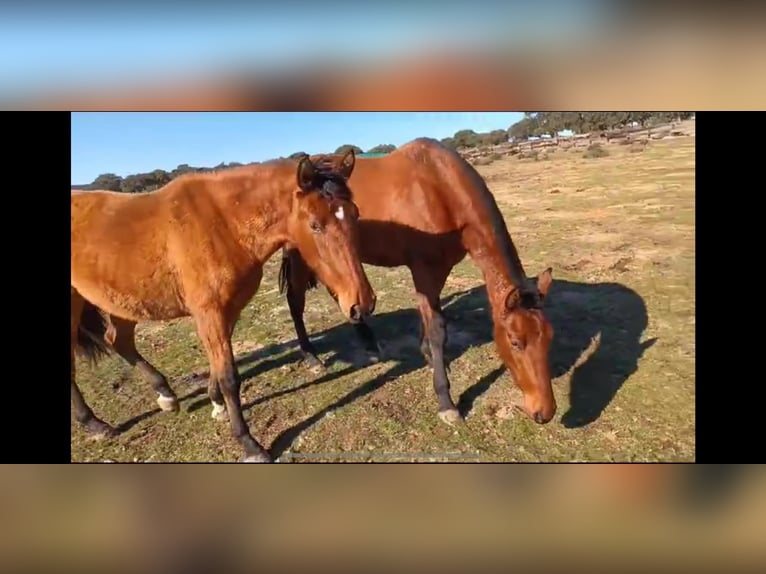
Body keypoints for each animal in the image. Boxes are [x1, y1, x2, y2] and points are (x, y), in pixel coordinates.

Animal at [70, 152, 376, 464]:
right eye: (315, 224)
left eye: (354, 214)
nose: (362, 303)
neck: (223, 223)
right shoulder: (210, 314)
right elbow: (229, 376)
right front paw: (249, 444)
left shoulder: (228, 311)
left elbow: (218, 367)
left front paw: (216, 403)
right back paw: (95, 424)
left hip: (124, 303)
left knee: (119, 341)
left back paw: (166, 395)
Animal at [282, 140, 560, 428]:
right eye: (515, 342)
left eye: (549, 336)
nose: (545, 412)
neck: (440, 187)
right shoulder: (423, 269)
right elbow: (437, 328)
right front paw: (446, 401)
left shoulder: (439, 269)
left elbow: (429, 321)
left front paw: (429, 356)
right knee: (296, 303)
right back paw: (311, 356)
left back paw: (368, 342)